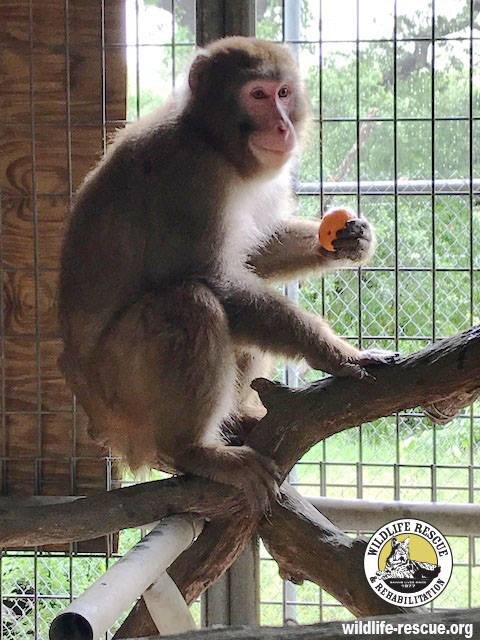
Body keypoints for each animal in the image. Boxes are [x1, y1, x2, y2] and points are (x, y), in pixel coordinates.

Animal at [58, 37, 395, 511]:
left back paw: (238, 419)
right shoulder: (190, 174)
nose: (283, 128)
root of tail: (97, 421)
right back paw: (194, 450)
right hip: (121, 395)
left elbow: (252, 258)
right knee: (189, 302)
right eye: (257, 95)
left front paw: (350, 240)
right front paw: (334, 352)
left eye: (283, 93)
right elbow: (217, 279)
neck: (212, 141)